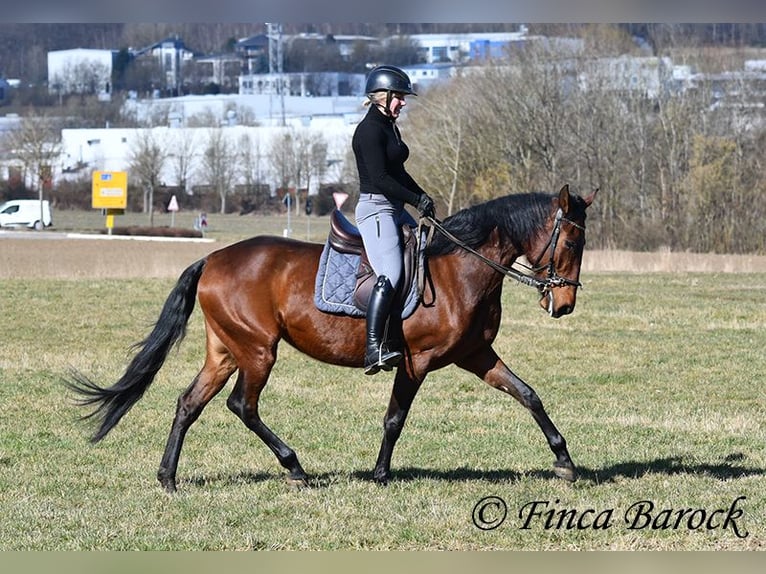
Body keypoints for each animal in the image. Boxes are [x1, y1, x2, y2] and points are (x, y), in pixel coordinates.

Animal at [66, 184, 596, 496]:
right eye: (572, 242)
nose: (565, 304)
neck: (459, 268)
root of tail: (212, 258)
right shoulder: (417, 360)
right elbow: (395, 418)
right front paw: (380, 475)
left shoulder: (476, 354)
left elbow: (528, 395)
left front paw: (564, 462)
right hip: (258, 351)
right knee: (242, 406)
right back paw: (295, 468)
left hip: (226, 352)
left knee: (189, 403)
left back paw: (168, 478)